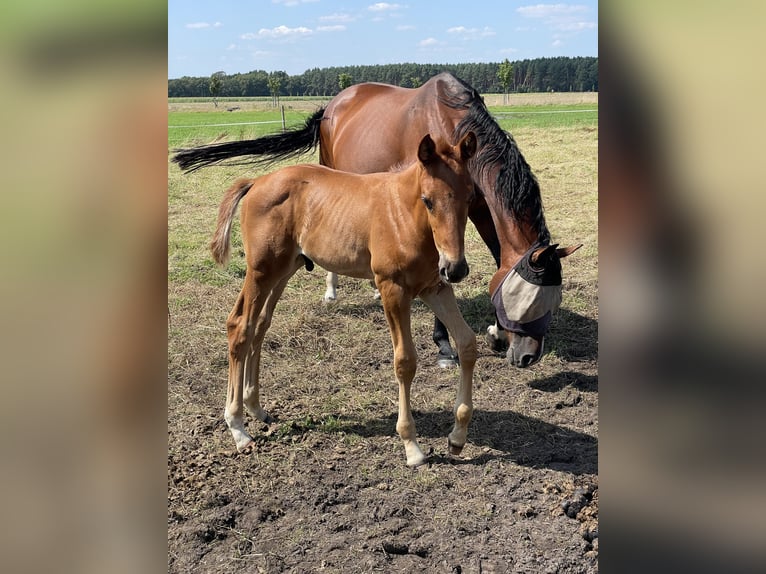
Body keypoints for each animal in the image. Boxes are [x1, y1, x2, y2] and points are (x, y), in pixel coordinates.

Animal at [176, 73, 584, 368]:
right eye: (524, 301)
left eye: (554, 301)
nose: (528, 357)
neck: (451, 123)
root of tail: (332, 105)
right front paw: (444, 347)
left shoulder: (478, 204)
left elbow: (497, 254)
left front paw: (495, 332)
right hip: (329, 168)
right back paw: (332, 289)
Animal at [213, 132, 480, 468]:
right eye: (428, 200)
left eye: (470, 198)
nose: (456, 268)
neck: (404, 215)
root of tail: (257, 181)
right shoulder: (391, 288)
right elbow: (405, 361)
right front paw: (411, 446)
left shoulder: (435, 287)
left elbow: (467, 343)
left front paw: (457, 436)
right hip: (261, 270)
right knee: (240, 326)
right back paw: (238, 427)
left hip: (283, 270)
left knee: (259, 326)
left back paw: (256, 407)